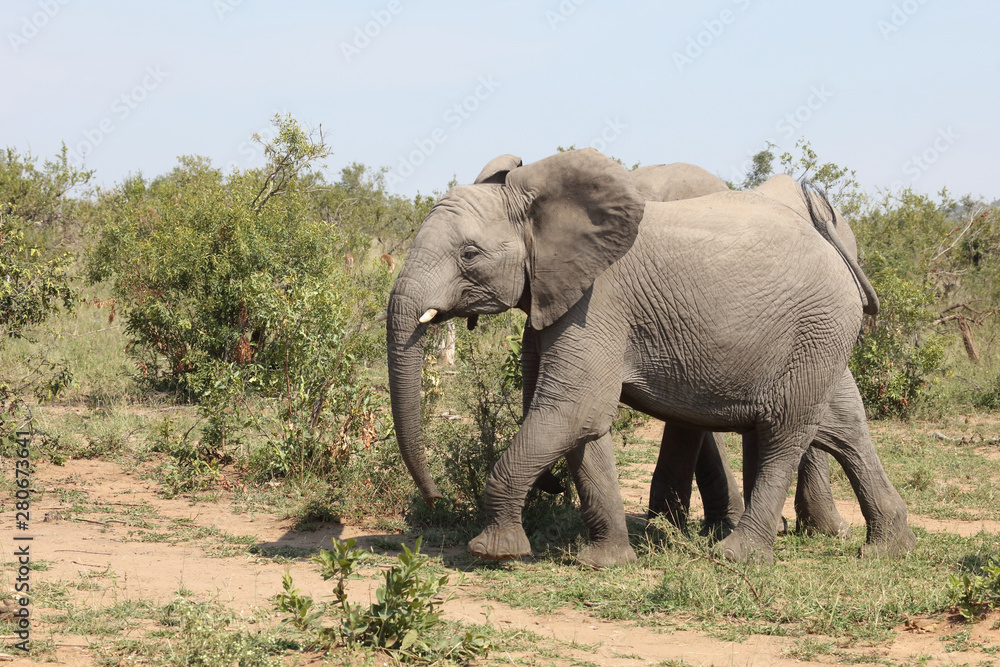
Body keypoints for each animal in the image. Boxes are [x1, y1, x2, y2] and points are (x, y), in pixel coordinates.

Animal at [385, 148, 914, 566]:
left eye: (470, 255)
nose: (434, 498)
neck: (538, 205)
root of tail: (842, 257)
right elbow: (584, 425)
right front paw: (605, 563)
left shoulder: (596, 302)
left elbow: (572, 410)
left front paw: (494, 553)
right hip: (818, 337)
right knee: (840, 424)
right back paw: (885, 548)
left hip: (816, 328)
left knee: (784, 431)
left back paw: (737, 557)